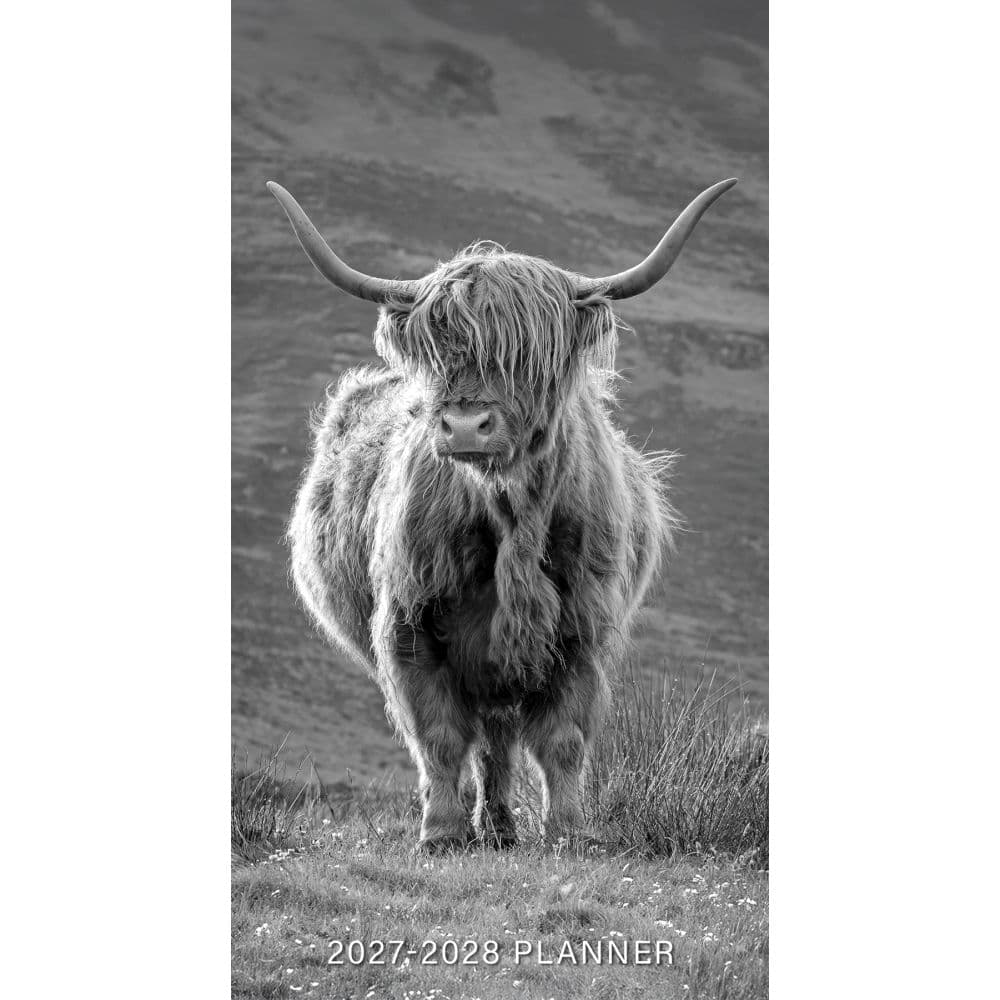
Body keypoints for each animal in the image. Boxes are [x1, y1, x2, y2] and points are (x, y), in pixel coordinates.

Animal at [268, 176, 736, 851]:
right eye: (438, 349)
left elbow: (562, 739)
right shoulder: (408, 623)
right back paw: (486, 826)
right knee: (485, 734)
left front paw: (568, 832)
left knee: (500, 735)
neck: (513, 517)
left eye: (527, 354)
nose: (466, 425)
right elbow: (438, 737)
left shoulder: (582, 628)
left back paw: (502, 827)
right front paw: (440, 833)